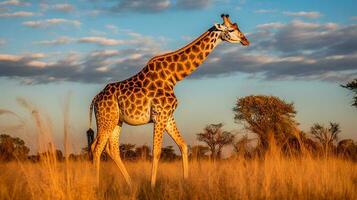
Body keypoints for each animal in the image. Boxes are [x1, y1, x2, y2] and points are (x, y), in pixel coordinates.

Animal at [87, 14, 248, 188]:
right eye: (231, 29)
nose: (245, 40)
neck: (173, 77)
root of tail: (95, 98)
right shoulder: (160, 116)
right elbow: (157, 152)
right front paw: (152, 186)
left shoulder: (168, 116)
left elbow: (183, 146)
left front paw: (186, 181)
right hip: (106, 120)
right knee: (97, 147)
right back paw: (96, 185)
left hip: (116, 120)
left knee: (112, 148)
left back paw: (131, 184)